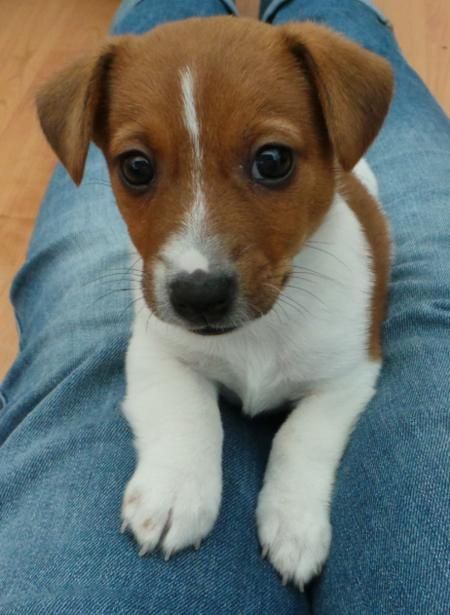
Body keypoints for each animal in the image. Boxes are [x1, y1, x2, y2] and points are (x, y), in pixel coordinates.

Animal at [37, 16, 392, 588]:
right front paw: (176, 491)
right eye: (136, 167)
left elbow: (301, 436)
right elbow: (190, 413)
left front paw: (293, 522)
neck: (259, 332)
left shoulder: (349, 377)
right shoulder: (158, 352)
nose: (197, 295)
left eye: (273, 160)